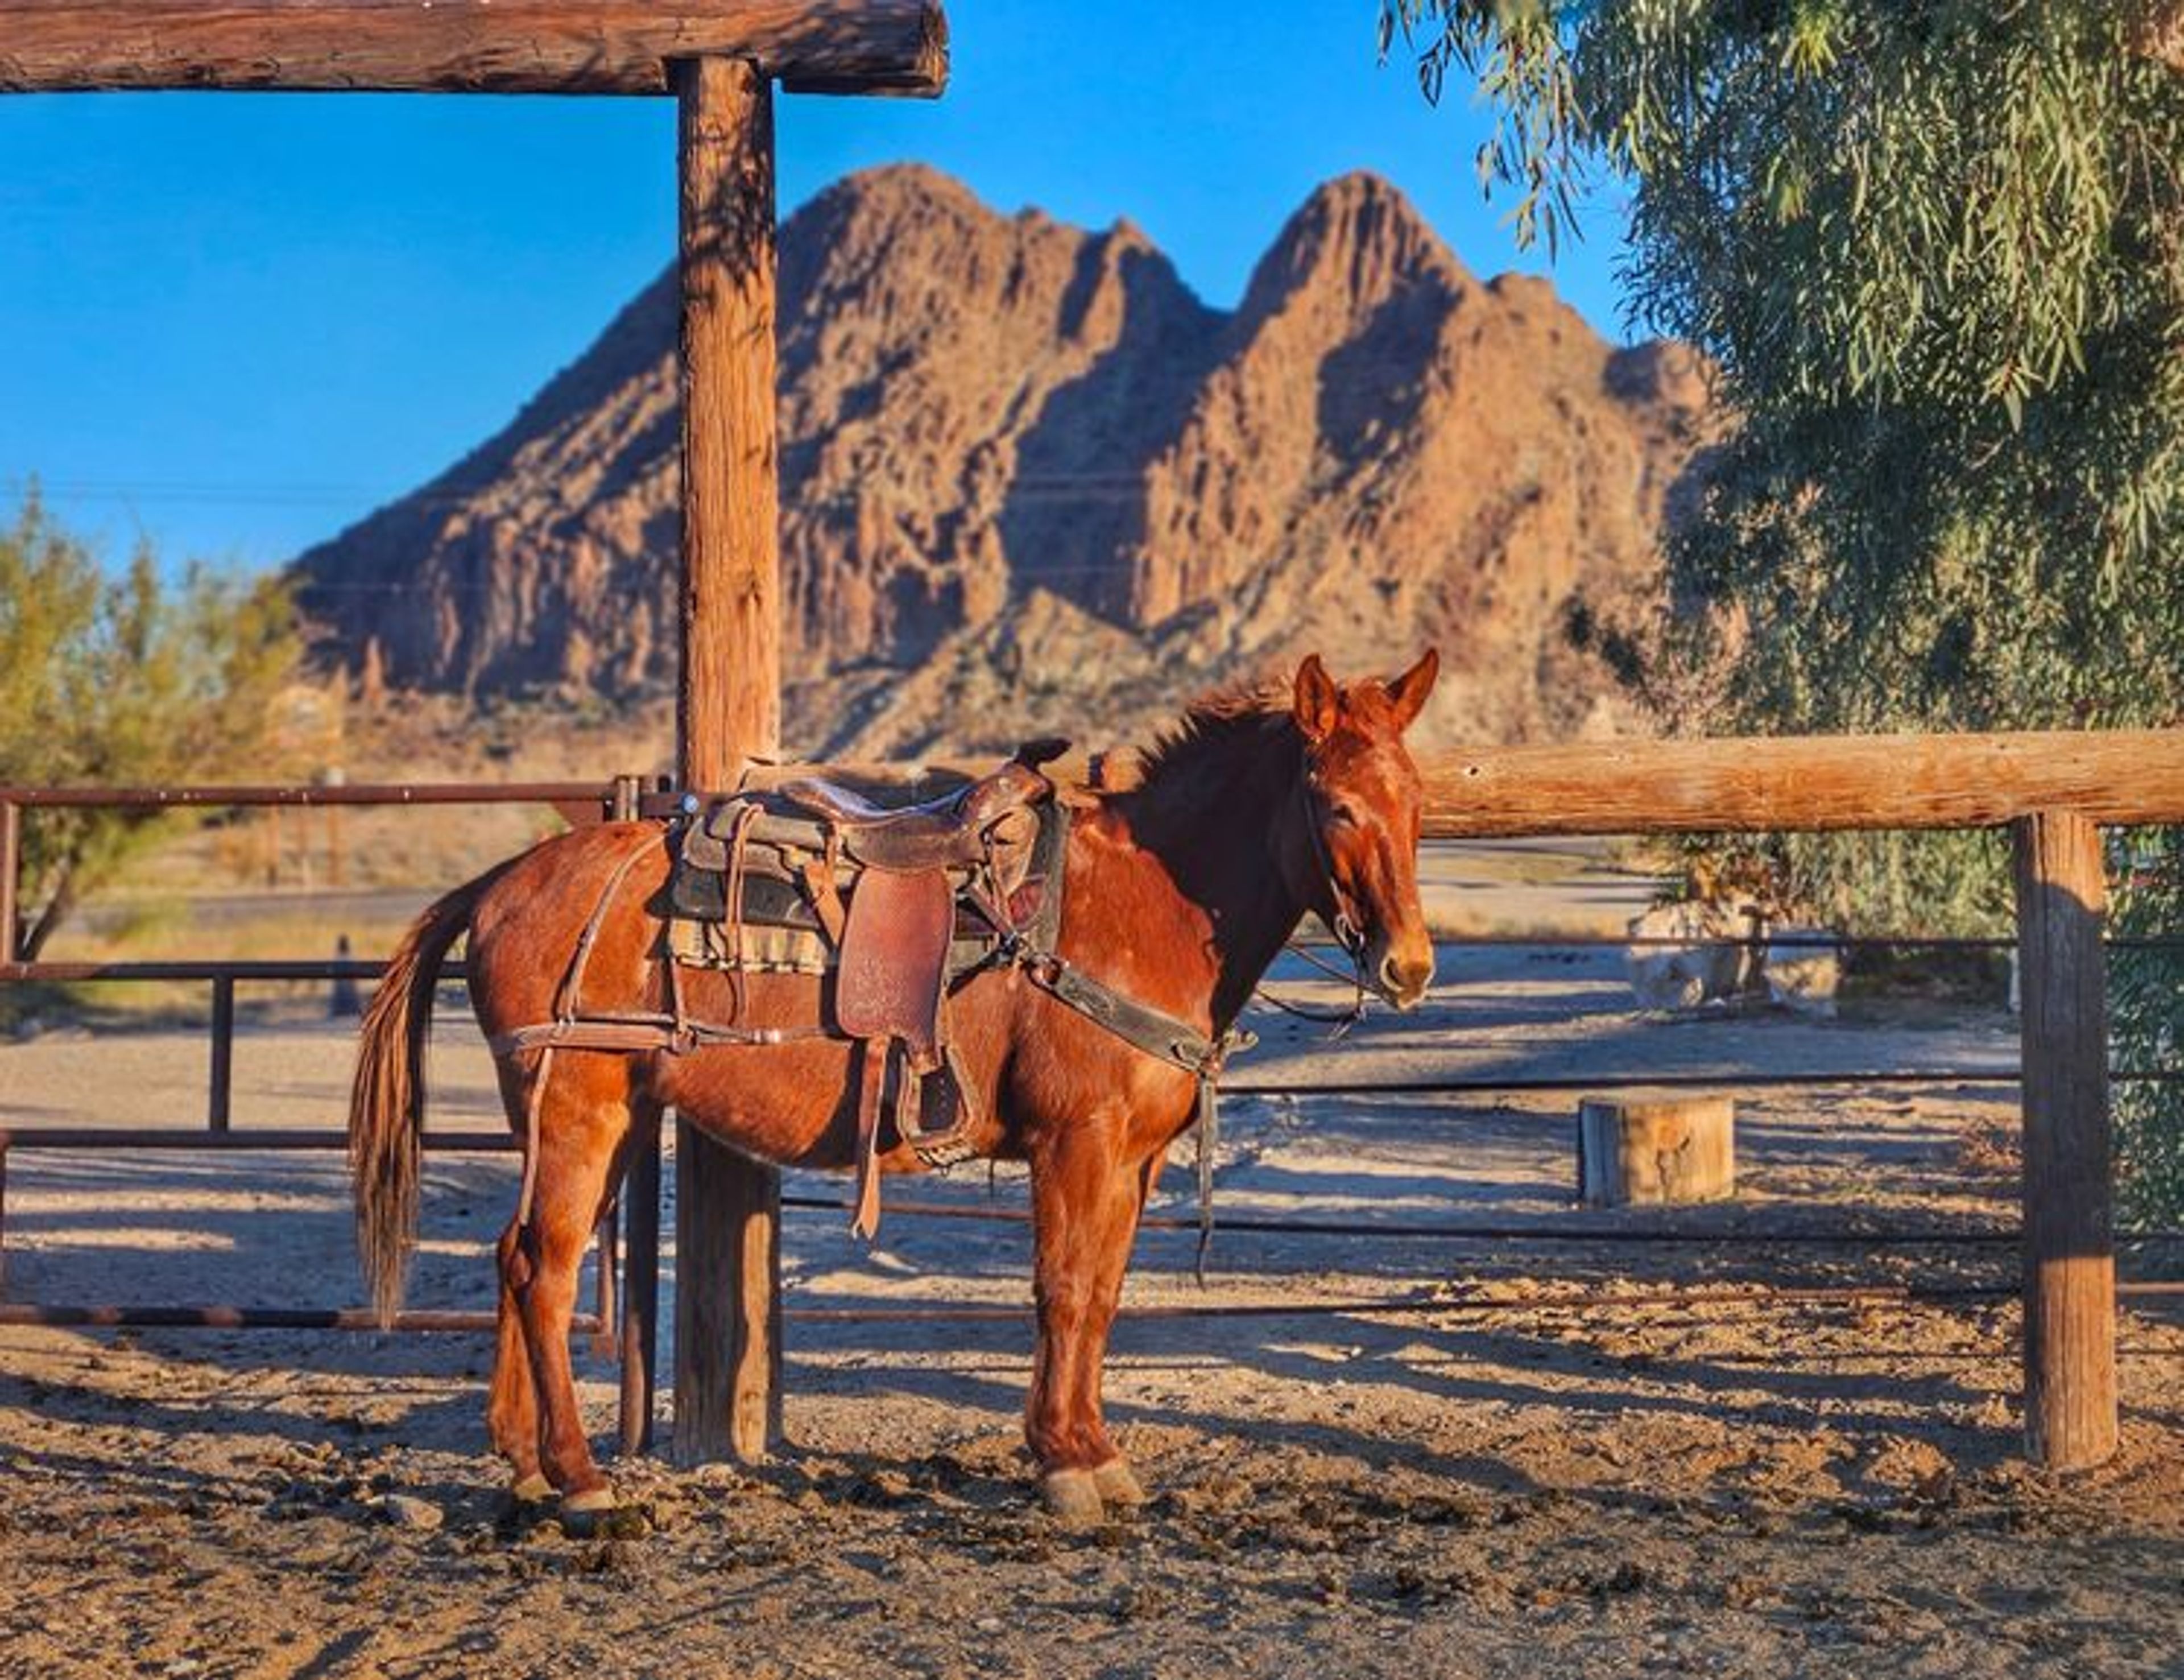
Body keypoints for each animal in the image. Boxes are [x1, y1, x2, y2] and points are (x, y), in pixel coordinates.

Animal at [348, 650, 1440, 1527]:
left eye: (1419, 802)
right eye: (1337, 804)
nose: (1409, 966)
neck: (1141, 904)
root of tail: (500, 883)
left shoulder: (1132, 1159)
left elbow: (1102, 1295)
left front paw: (1095, 1451)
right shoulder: (1076, 1144)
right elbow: (1064, 1290)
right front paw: (1063, 1464)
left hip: (609, 1121)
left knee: (516, 1255)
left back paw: (525, 1464)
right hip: (578, 1111)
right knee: (546, 1268)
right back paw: (580, 1481)